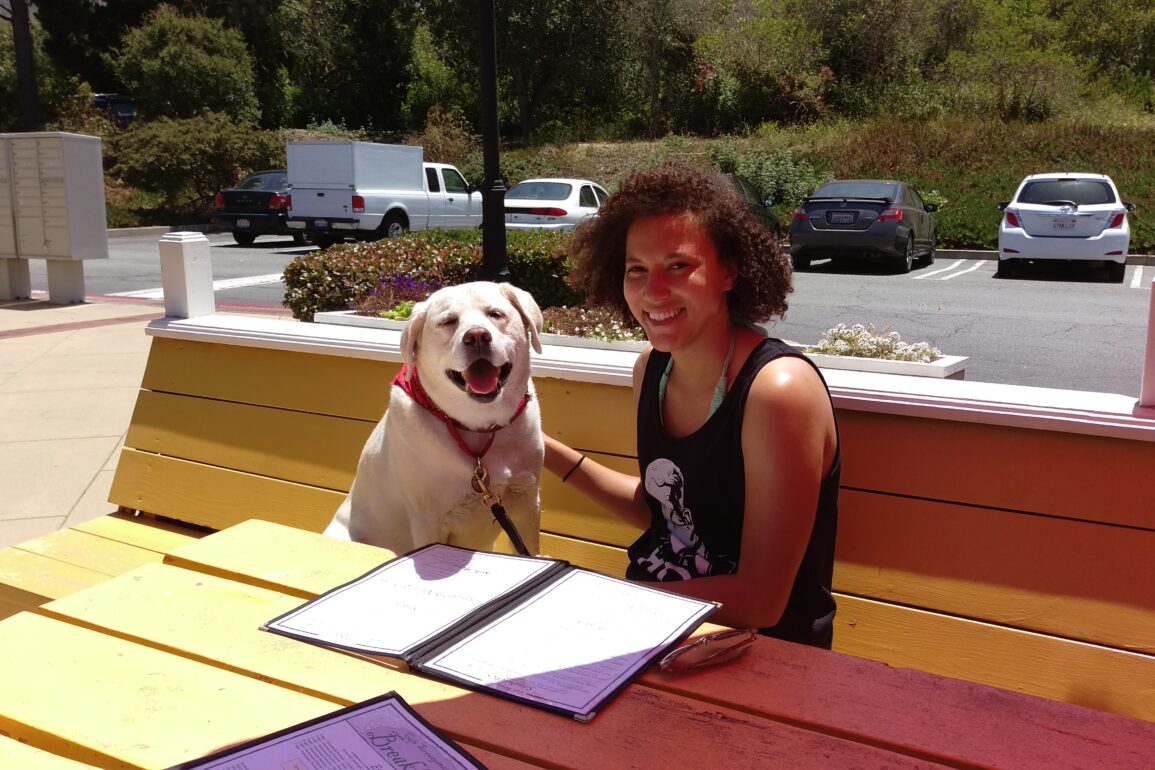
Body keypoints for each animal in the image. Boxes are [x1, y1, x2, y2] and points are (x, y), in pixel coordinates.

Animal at [323, 281, 542, 554]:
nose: (477, 336)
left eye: (495, 314)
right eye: (448, 321)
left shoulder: (527, 500)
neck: (479, 426)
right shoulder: (428, 521)